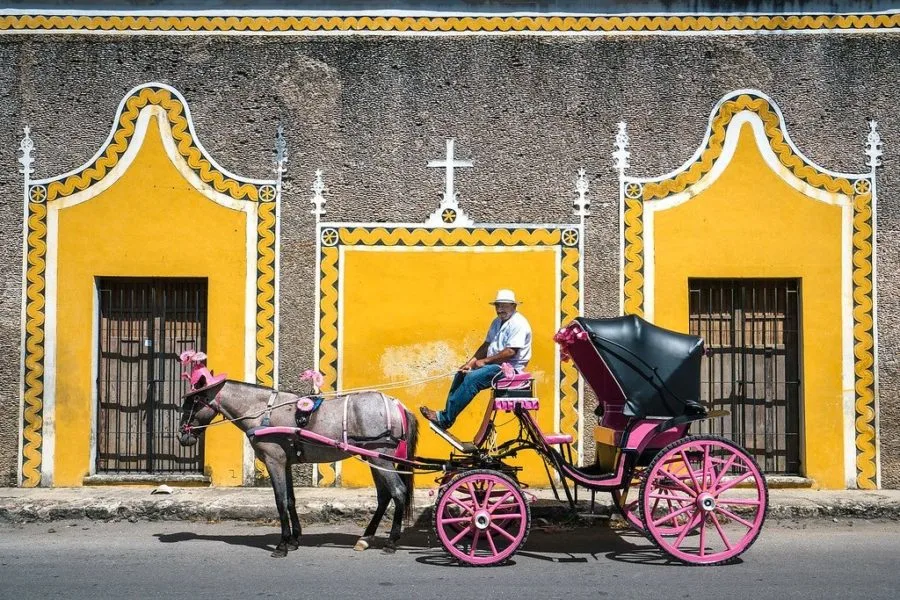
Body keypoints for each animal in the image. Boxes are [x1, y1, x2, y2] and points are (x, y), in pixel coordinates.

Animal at [178, 378, 420, 556]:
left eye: (193, 402)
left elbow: (280, 501)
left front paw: (282, 544)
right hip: (373, 458)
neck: (263, 412)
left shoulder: (274, 461)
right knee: (384, 496)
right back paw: (365, 538)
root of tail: (396, 404)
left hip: (381, 458)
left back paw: (391, 542)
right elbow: (291, 500)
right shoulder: (285, 462)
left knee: (398, 492)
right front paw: (294, 539)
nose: (182, 435)